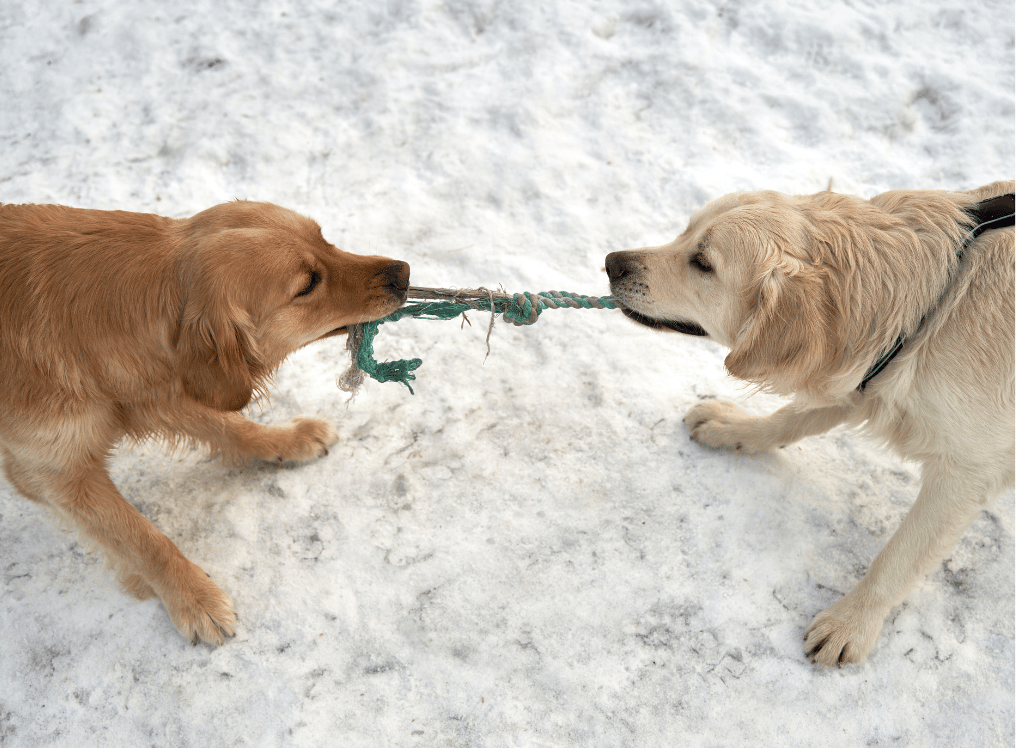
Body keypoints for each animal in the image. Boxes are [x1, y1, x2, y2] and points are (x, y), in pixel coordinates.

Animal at [1, 197, 407, 639]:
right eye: (308, 284)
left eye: (324, 239)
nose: (403, 273)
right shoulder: (53, 473)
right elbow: (142, 539)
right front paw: (195, 599)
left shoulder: (162, 389)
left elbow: (230, 424)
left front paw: (288, 440)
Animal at [602, 179, 1011, 663]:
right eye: (686, 231)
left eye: (703, 263)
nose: (611, 263)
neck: (928, 311)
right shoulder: (862, 375)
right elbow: (788, 419)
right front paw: (734, 429)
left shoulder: (967, 471)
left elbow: (900, 555)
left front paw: (851, 623)